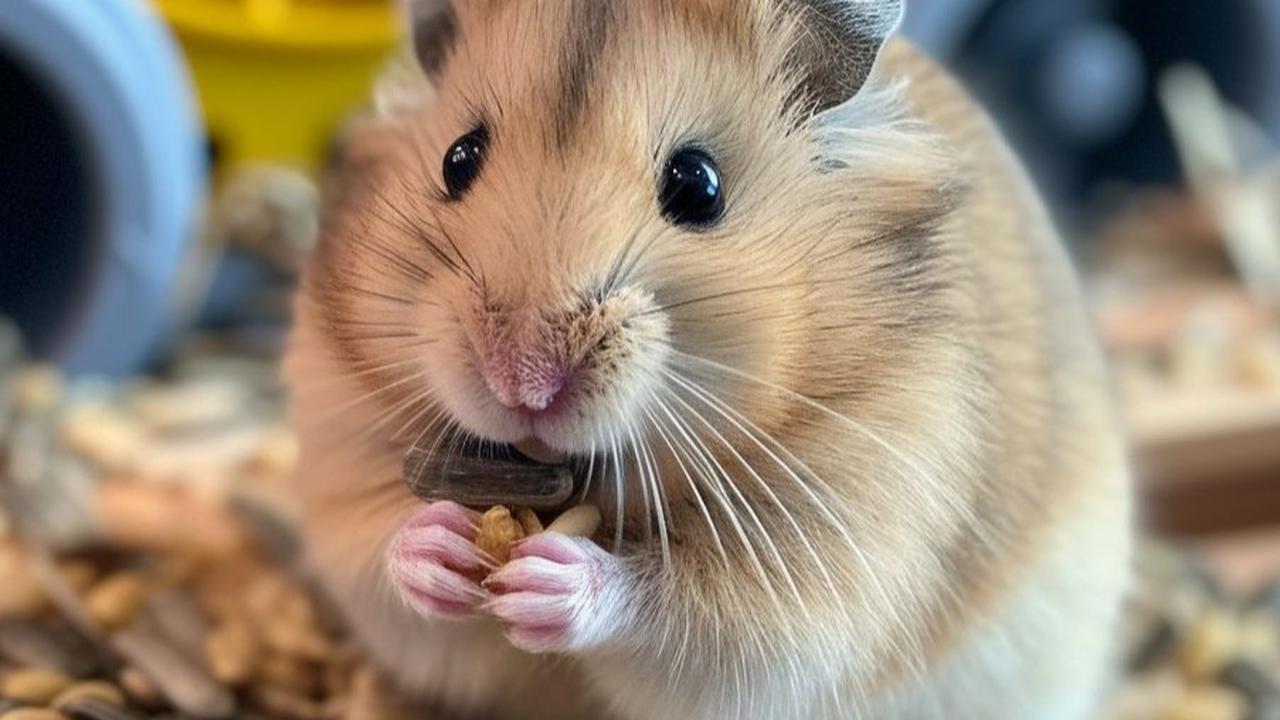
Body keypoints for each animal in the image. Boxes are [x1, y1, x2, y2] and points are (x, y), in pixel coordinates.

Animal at [283, 1, 1132, 718]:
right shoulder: (343, 443)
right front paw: (442, 544)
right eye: (458, 159)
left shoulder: (825, 556)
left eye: (698, 185)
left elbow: (690, 617)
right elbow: (384, 556)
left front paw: (549, 578)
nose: (523, 382)